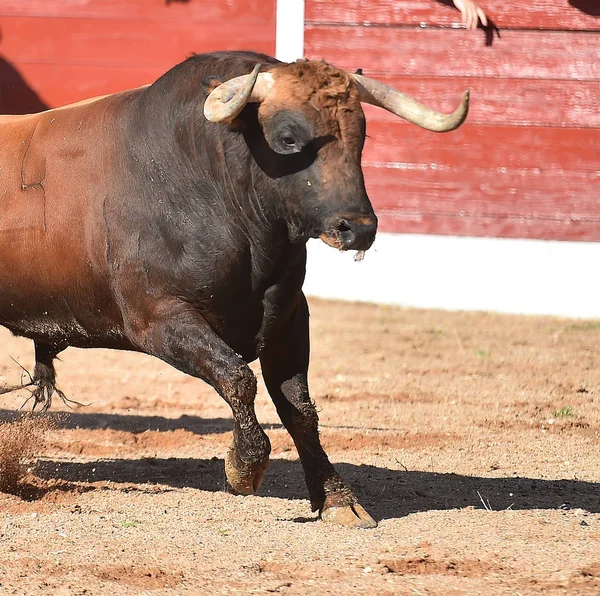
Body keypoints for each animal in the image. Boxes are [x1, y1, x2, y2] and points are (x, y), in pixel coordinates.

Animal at [0, 51, 468, 528]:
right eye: (288, 138)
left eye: (360, 136)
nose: (357, 228)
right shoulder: (159, 319)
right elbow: (238, 377)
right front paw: (244, 467)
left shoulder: (288, 319)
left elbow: (299, 408)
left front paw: (339, 499)